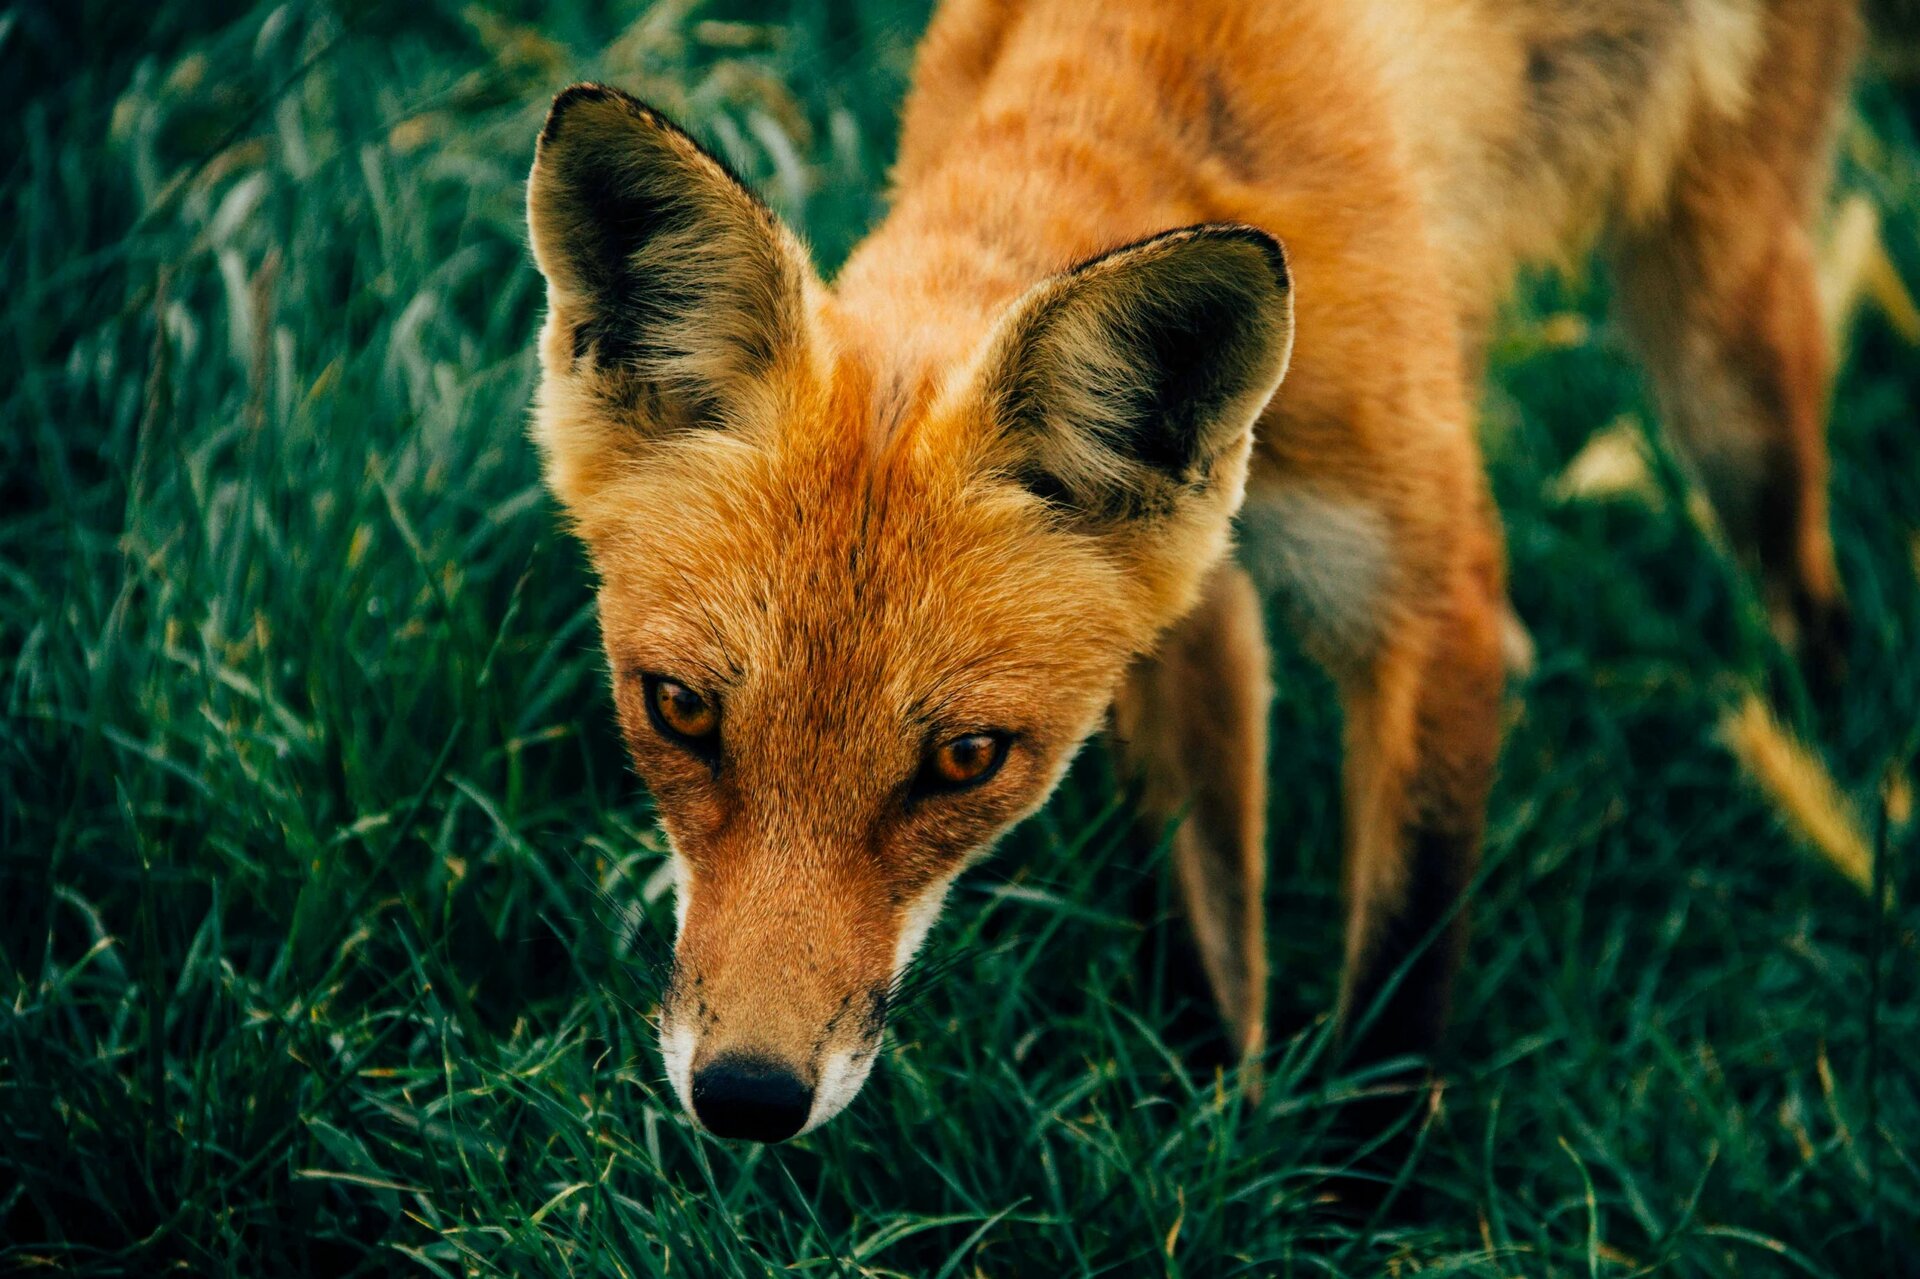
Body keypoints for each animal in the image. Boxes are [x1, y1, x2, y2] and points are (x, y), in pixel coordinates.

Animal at [523, 0, 1859, 1143]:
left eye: (967, 759)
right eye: (678, 710)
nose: (748, 1096)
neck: (1136, 85)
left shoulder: (1419, 593)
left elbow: (1403, 960)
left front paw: (1358, 1201)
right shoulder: (1192, 606)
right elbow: (1205, 922)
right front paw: (1213, 1132)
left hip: (1718, 353)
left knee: (1804, 570)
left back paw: (1834, 783)